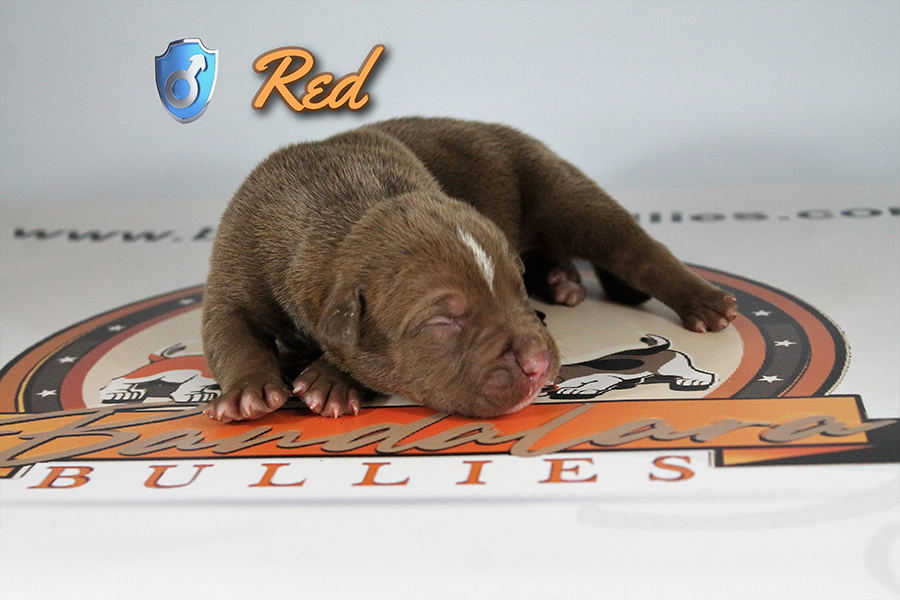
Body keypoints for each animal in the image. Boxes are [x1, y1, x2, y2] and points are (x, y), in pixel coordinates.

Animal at [201, 117, 737, 422]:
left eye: (516, 290)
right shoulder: (234, 267)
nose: (538, 363)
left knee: (634, 247)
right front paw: (249, 391)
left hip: (559, 189)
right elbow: (227, 330)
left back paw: (704, 301)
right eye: (444, 321)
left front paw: (328, 380)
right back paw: (562, 281)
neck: (341, 205)